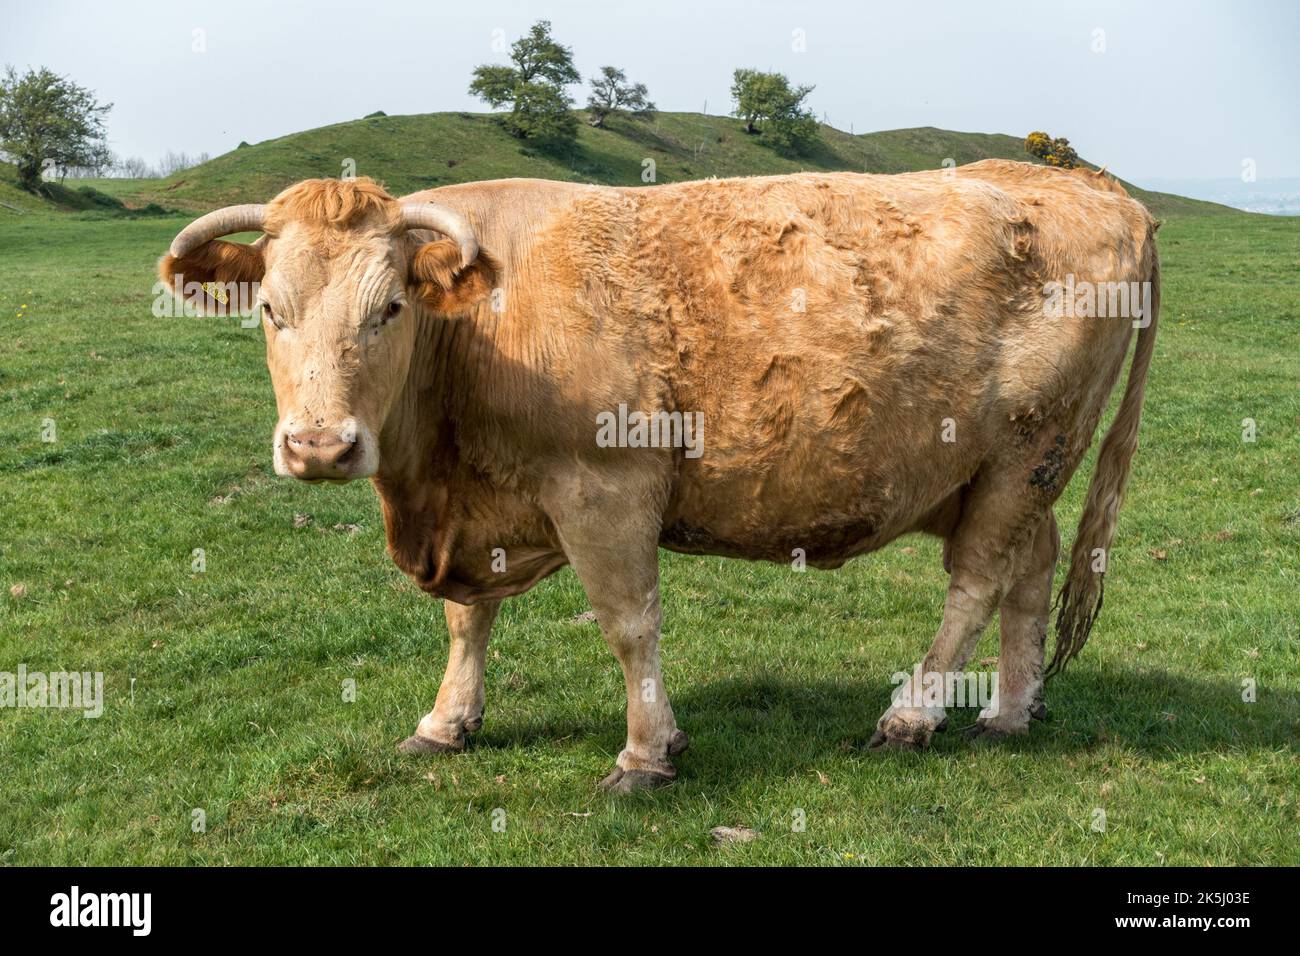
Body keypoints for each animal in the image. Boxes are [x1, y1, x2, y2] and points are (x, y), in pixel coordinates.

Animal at [157, 160, 1164, 790]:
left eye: (391, 307)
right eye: (271, 310)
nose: (321, 448)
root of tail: (1090, 187)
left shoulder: (604, 488)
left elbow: (629, 625)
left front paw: (647, 754)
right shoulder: (478, 516)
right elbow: (466, 621)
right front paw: (447, 723)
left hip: (1026, 454)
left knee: (977, 583)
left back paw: (912, 717)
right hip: (1013, 470)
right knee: (1030, 573)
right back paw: (1010, 712)